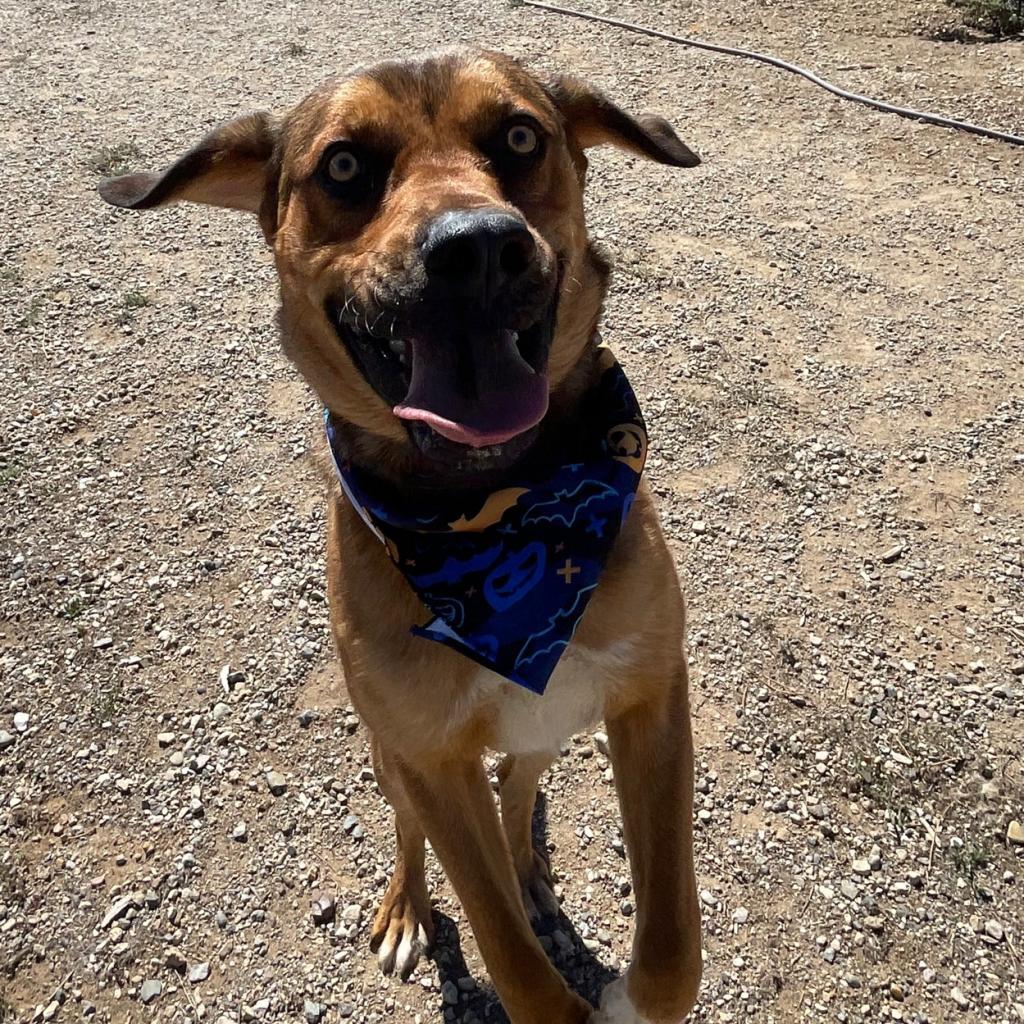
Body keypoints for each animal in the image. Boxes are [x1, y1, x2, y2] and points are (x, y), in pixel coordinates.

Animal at [101, 51, 704, 1019]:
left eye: (522, 137)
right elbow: (508, 953)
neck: (497, 512)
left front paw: (626, 996)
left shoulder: (651, 695)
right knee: (415, 834)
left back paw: (529, 865)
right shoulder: (428, 756)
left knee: (515, 790)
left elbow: (675, 942)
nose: (477, 248)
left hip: (545, 731)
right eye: (345, 165)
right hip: (394, 759)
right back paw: (409, 909)